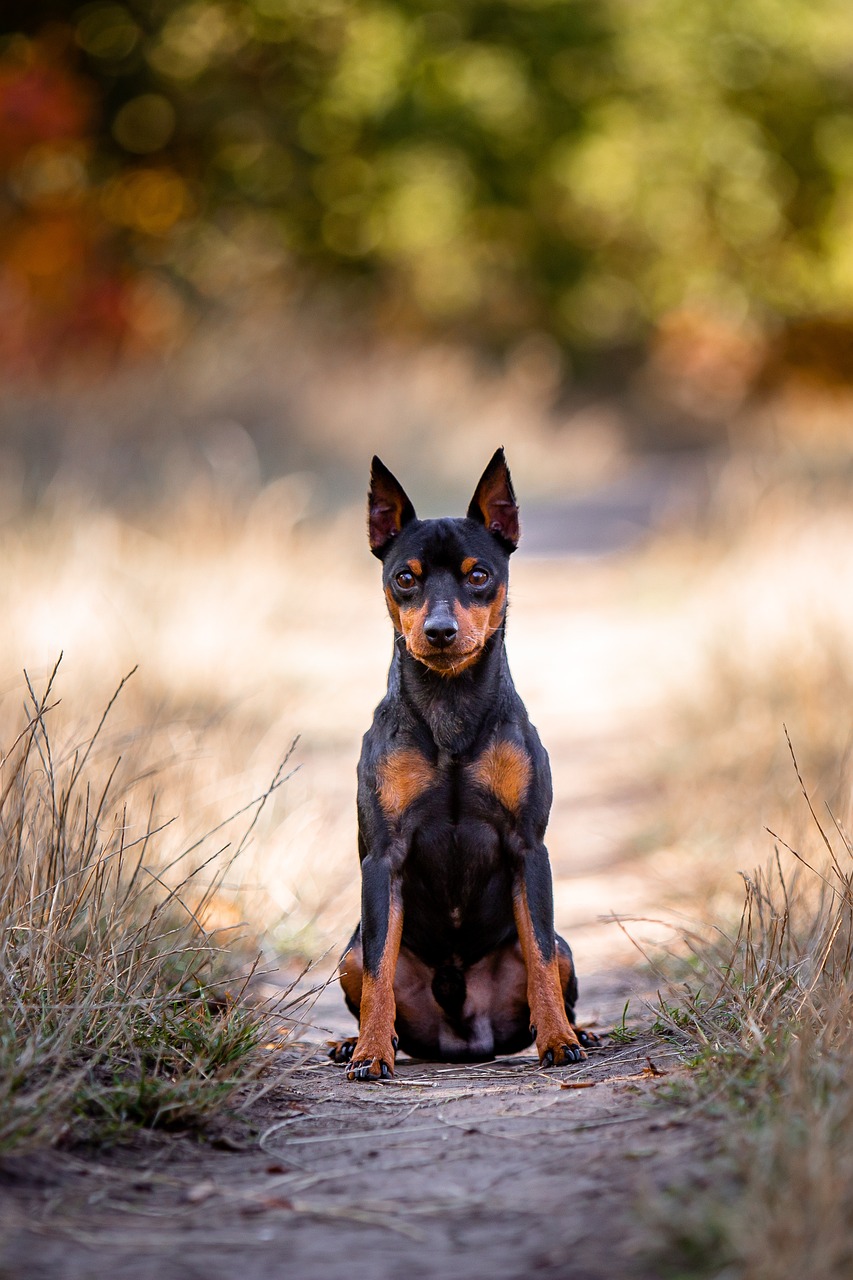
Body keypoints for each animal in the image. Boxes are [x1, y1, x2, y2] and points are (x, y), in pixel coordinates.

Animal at [327, 450, 589, 1080]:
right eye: (405, 577)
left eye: (478, 575)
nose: (440, 631)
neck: (451, 709)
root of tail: (465, 1040)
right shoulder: (384, 856)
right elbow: (380, 970)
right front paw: (370, 1053)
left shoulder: (528, 847)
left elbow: (539, 954)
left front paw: (558, 1042)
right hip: (347, 953)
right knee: (371, 972)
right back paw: (356, 1042)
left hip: (567, 949)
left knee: (553, 958)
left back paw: (578, 1032)